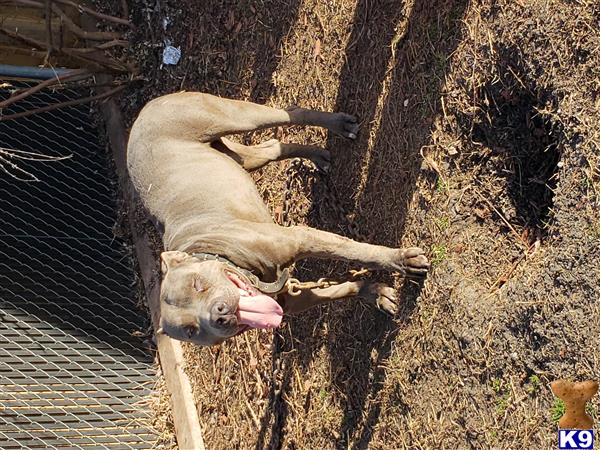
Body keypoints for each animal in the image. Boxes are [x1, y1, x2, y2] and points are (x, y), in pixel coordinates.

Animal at [126, 91, 428, 344]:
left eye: (198, 284)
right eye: (191, 330)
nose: (219, 314)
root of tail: (142, 113)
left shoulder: (301, 238)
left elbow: (359, 252)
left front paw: (401, 261)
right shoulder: (292, 299)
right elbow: (336, 290)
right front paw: (374, 293)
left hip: (234, 117)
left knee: (288, 114)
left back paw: (339, 125)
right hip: (239, 158)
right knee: (271, 148)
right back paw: (317, 156)